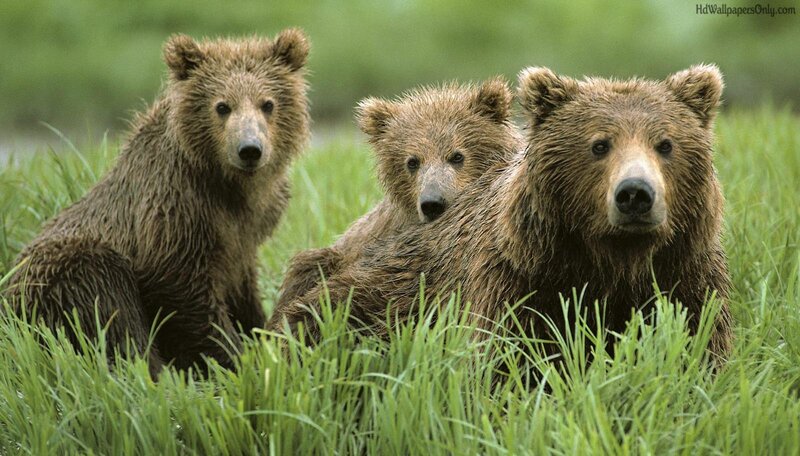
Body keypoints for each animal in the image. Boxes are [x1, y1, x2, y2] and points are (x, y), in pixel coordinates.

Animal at [5, 29, 310, 376]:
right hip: (66, 273)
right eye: (222, 106)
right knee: (109, 310)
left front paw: (259, 332)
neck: (229, 187)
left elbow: (243, 288)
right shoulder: (175, 209)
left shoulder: (246, 231)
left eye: (267, 103)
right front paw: (237, 358)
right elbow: (181, 291)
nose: (249, 149)